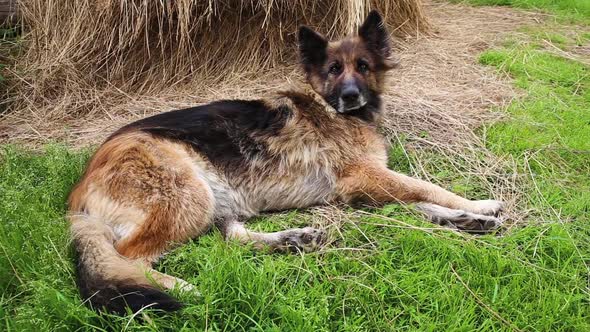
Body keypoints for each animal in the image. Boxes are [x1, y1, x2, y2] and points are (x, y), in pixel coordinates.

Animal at [68, 11, 504, 316]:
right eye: (333, 70)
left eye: (363, 66)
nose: (349, 96)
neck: (335, 110)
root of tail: (79, 190)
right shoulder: (365, 177)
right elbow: (427, 188)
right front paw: (476, 205)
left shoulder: (367, 186)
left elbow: (418, 202)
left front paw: (465, 219)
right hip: (188, 194)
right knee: (128, 256)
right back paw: (180, 286)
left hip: (220, 196)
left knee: (231, 239)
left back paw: (292, 239)